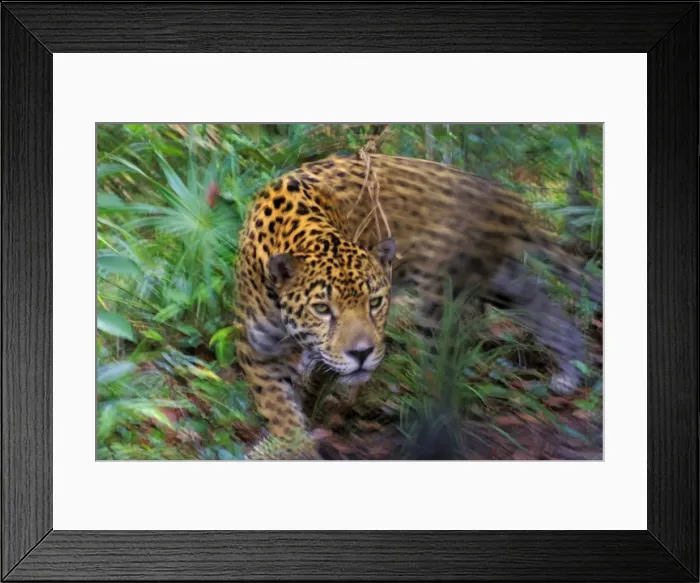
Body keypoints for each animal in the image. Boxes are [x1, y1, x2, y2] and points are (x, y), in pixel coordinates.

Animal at [234, 153, 601, 459]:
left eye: (375, 302)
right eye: (322, 308)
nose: (362, 354)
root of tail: (502, 196)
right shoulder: (256, 346)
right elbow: (278, 405)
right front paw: (293, 443)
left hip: (441, 301)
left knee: (442, 371)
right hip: (505, 283)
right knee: (550, 312)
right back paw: (572, 374)